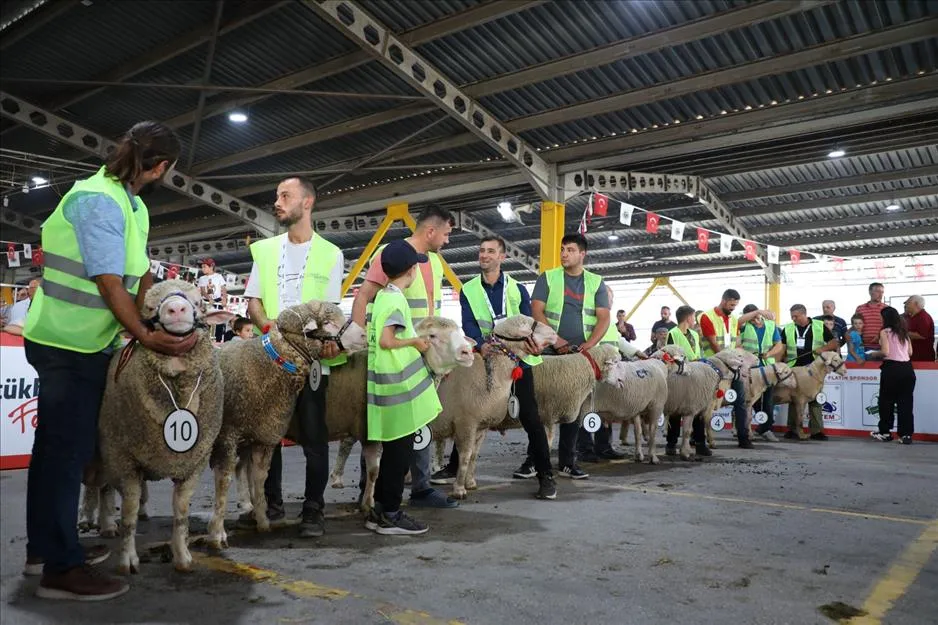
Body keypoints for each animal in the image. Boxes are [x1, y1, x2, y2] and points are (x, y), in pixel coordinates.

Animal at [90, 280, 233, 572]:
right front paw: (128, 560)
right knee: (103, 488)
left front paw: (182, 556)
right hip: (107, 449)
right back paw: (106, 524)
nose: (176, 309)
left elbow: (181, 511)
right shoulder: (125, 461)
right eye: (149, 307)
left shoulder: (193, 463)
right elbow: (129, 512)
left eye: (198, 302)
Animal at [206, 300, 366, 548]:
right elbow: (224, 481)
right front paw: (217, 533)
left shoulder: (264, 434)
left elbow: (260, 478)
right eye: (328, 323)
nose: (364, 334)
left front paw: (263, 520)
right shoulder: (227, 436)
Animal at [430, 316, 560, 498]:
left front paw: (470, 483)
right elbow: (465, 456)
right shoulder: (465, 423)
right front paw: (459, 489)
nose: (554, 333)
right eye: (524, 326)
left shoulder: (480, 426)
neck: (486, 376)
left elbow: (473, 455)